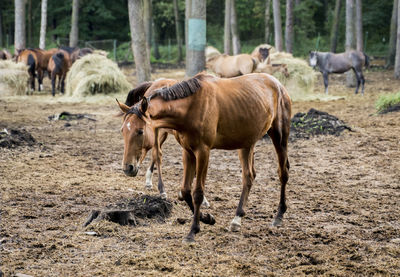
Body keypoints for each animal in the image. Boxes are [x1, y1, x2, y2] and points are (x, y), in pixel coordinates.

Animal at [117, 71, 292, 242]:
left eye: (140, 131)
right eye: (123, 130)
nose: (128, 168)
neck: (190, 106)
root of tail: (278, 84)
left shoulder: (203, 152)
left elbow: (198, 193)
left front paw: (193, 231)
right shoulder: (188, 152)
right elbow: (185, 191)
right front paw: (207, 218)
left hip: (279, 137)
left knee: (282, 173)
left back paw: (279, 216)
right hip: (246, 144)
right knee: (248, 177)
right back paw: (237, 219)